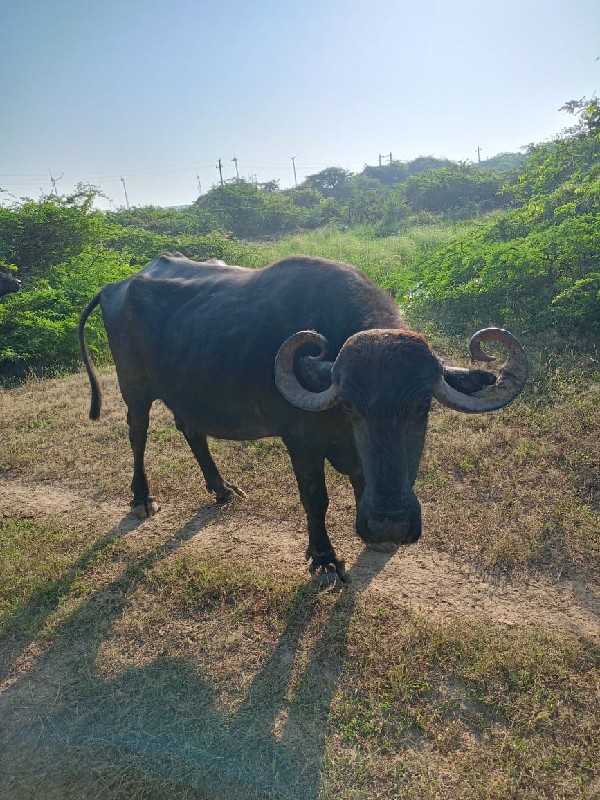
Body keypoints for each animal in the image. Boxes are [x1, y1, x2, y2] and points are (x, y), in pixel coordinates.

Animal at [78, 256, 524, 580]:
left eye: (422, 406)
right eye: (350, 406)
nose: (390, 525)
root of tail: (115, 287)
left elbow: (361, 480)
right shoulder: (302, 443)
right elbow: (315, 499)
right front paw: (324, 557)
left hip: (185, 393)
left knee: (192, 431)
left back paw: (222, 489)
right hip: (135, 389)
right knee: (137, 433)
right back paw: (142, 497)